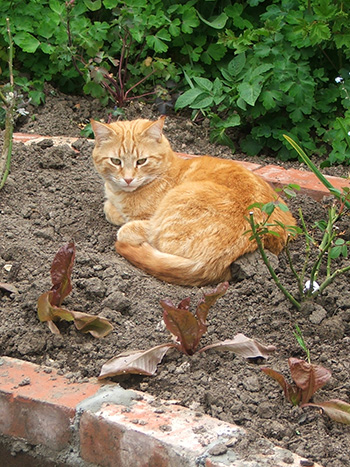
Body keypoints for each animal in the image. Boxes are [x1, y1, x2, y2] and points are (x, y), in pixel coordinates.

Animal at [91, 118, 296, 286]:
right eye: (115, 161)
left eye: (141, 161)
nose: (128, 179)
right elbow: (109, 207)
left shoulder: (148, 220)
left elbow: (121, 220)